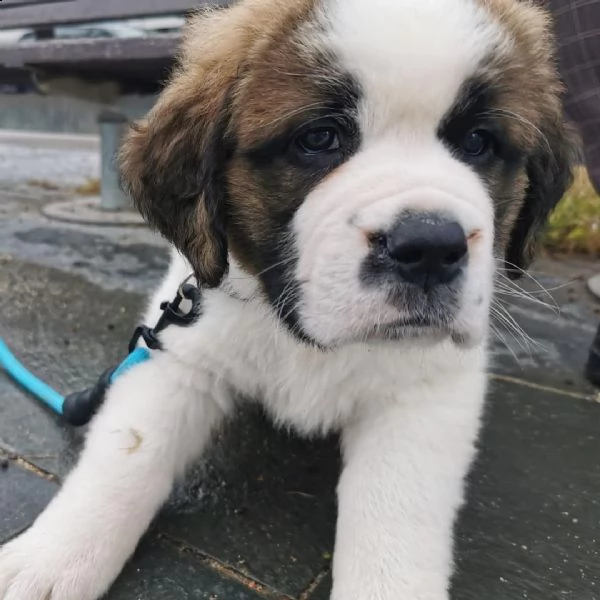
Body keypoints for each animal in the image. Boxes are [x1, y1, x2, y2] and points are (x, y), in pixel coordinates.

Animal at [0, 1, 576, 600]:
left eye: (479, 143)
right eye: (319, 139)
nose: (431, 248)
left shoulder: (428, 391)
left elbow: (395, 513)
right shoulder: (181, 350)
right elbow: (126, 454)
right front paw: (52, 557)